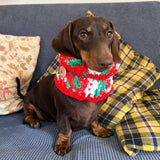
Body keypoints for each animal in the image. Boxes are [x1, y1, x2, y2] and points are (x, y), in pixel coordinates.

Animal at [18, 16, 121, 156]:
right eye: (83, 34)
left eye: (109, 33)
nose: (107, 63)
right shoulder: (63, 114)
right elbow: (66, 129)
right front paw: (62, 143)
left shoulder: (96, 111)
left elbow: (94, 121)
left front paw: (100, 130)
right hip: (28, 102)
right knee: (27, 115)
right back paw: (33, 121)